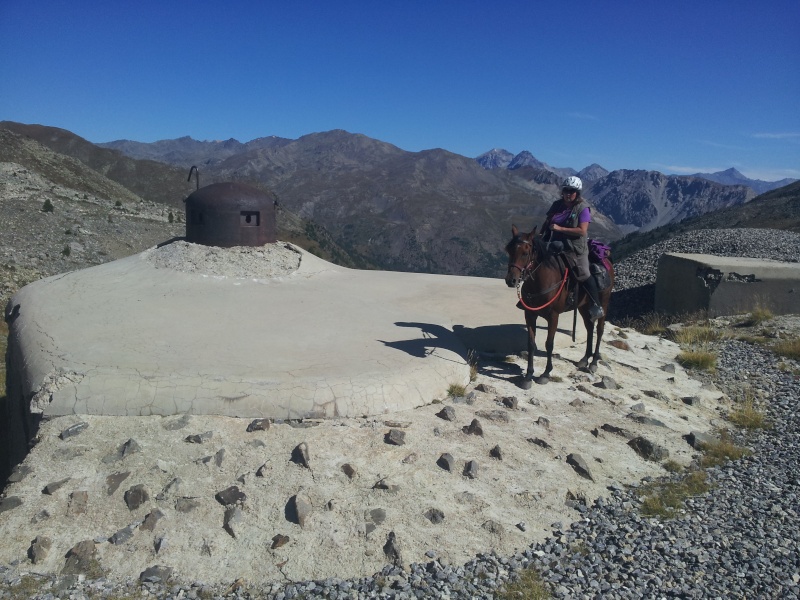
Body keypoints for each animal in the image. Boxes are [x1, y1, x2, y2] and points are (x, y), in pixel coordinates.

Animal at [504, 223, 616, 386]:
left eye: (525, 253)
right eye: (509, 250)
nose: (511, 280)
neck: (541, 282)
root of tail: (606, 260)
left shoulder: (553, 316)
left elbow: (549, 343)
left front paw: (545, 373)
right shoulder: (529, 314)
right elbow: (531, 343)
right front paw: (528, 376)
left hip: (604, 302)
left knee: (599, 330)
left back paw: (594, 362)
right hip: (583, 307)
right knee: (589, 328)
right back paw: (585, 359)